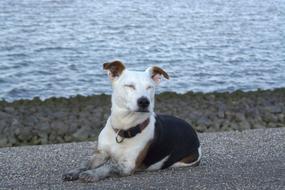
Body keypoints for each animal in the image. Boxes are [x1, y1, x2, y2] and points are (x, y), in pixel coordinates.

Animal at [62, 60, 200, 182]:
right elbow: (85, 162)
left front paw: (92, 174)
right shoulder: (101, 153)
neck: (124, 128)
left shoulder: (128, 165)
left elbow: (108, 166)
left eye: (149, 87)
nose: (144, 101)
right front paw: (74, 172)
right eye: (129, 86)